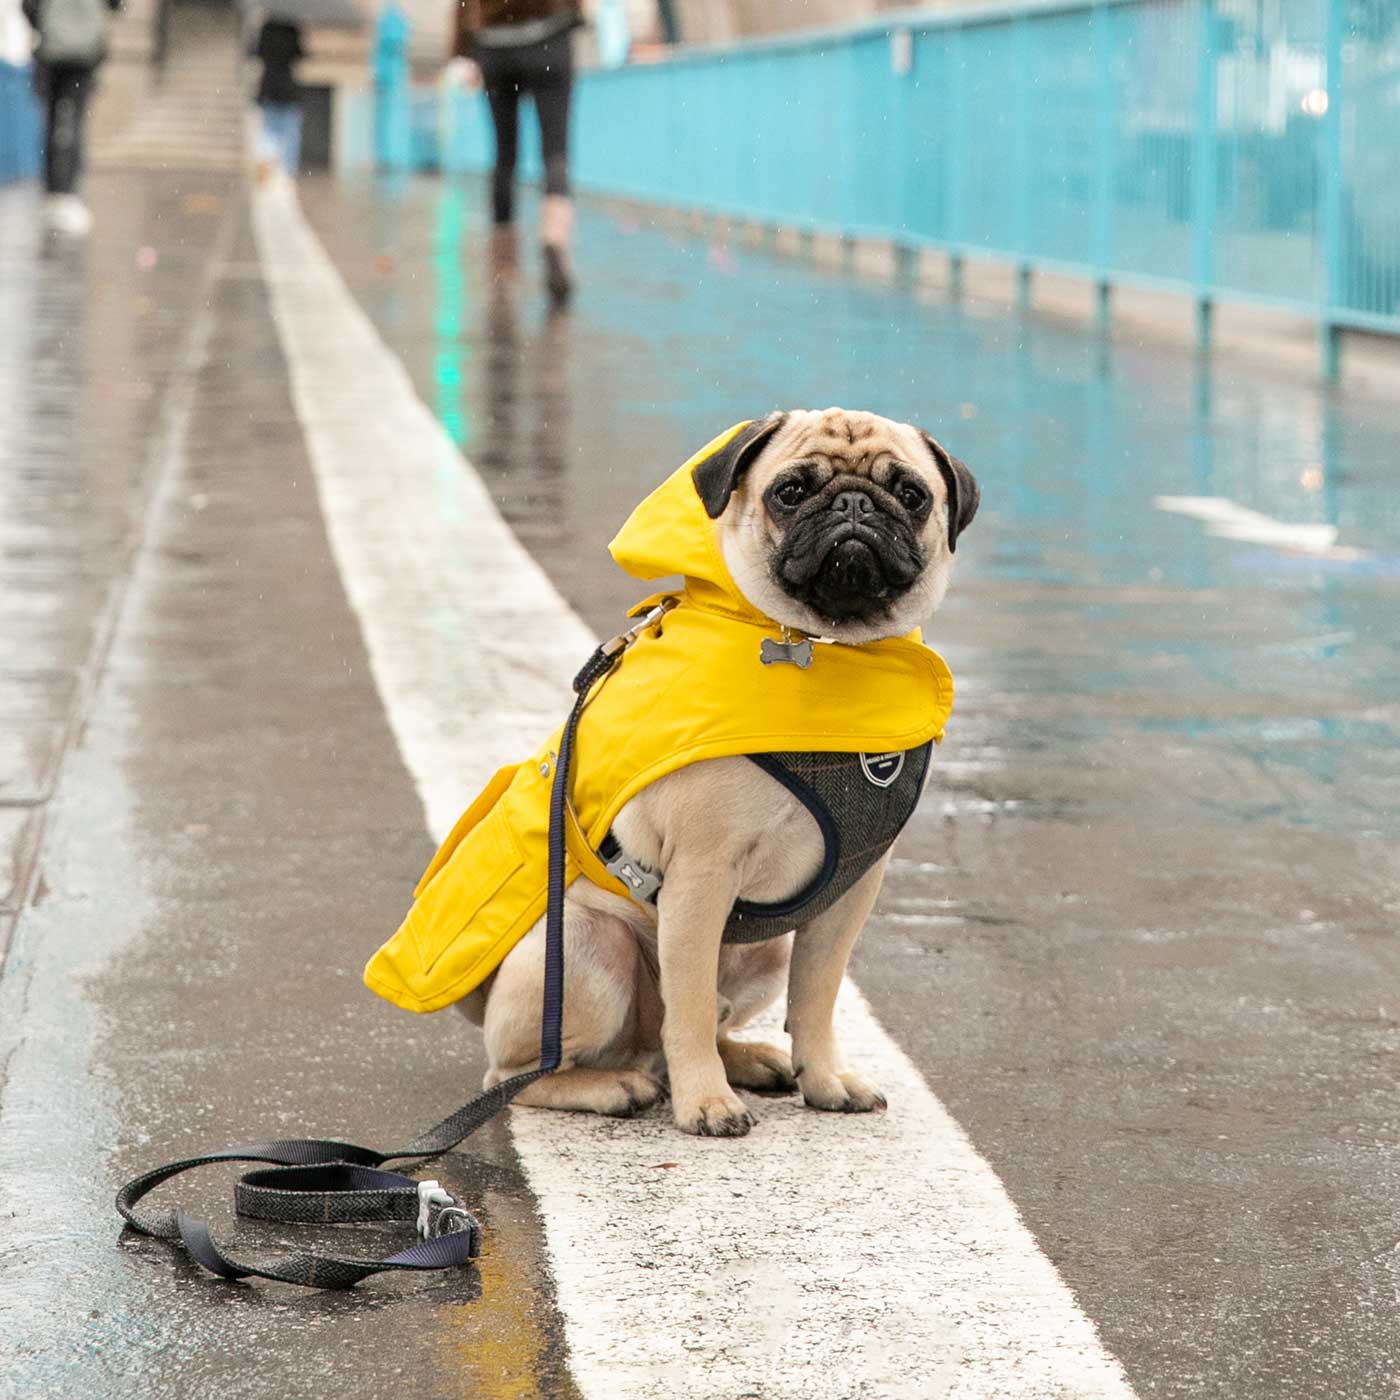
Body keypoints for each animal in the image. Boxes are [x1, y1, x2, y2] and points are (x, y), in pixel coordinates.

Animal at [459, 406, 974, 1136]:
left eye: (911, 494)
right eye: (790, 491)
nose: (852, 503)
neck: (828, 650)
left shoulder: (850, 891)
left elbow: (816, 998)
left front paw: (825, 1079)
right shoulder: (702, 877)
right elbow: (691, 1007)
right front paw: (704, 1102)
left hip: (767, 950)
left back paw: (751, 1060)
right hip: (591, 948)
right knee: (524, 1075)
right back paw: (616, 1085)